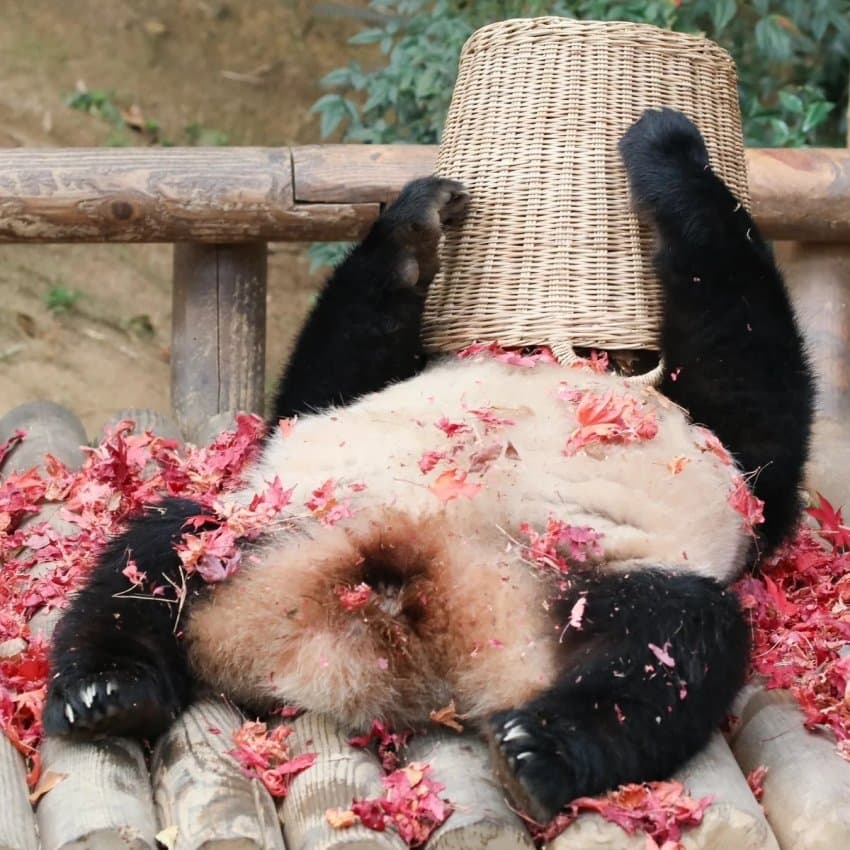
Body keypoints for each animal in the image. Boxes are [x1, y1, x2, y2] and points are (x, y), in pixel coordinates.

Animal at [43, 109, 814, 822]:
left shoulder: (724, 463)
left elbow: (754, 389)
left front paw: (666, 147)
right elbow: (324, 378)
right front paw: (421, 219)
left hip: (569, 581)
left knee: (675, 645)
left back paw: (539, 754)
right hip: (280, 522)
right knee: (160, 548)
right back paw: (105, 694)